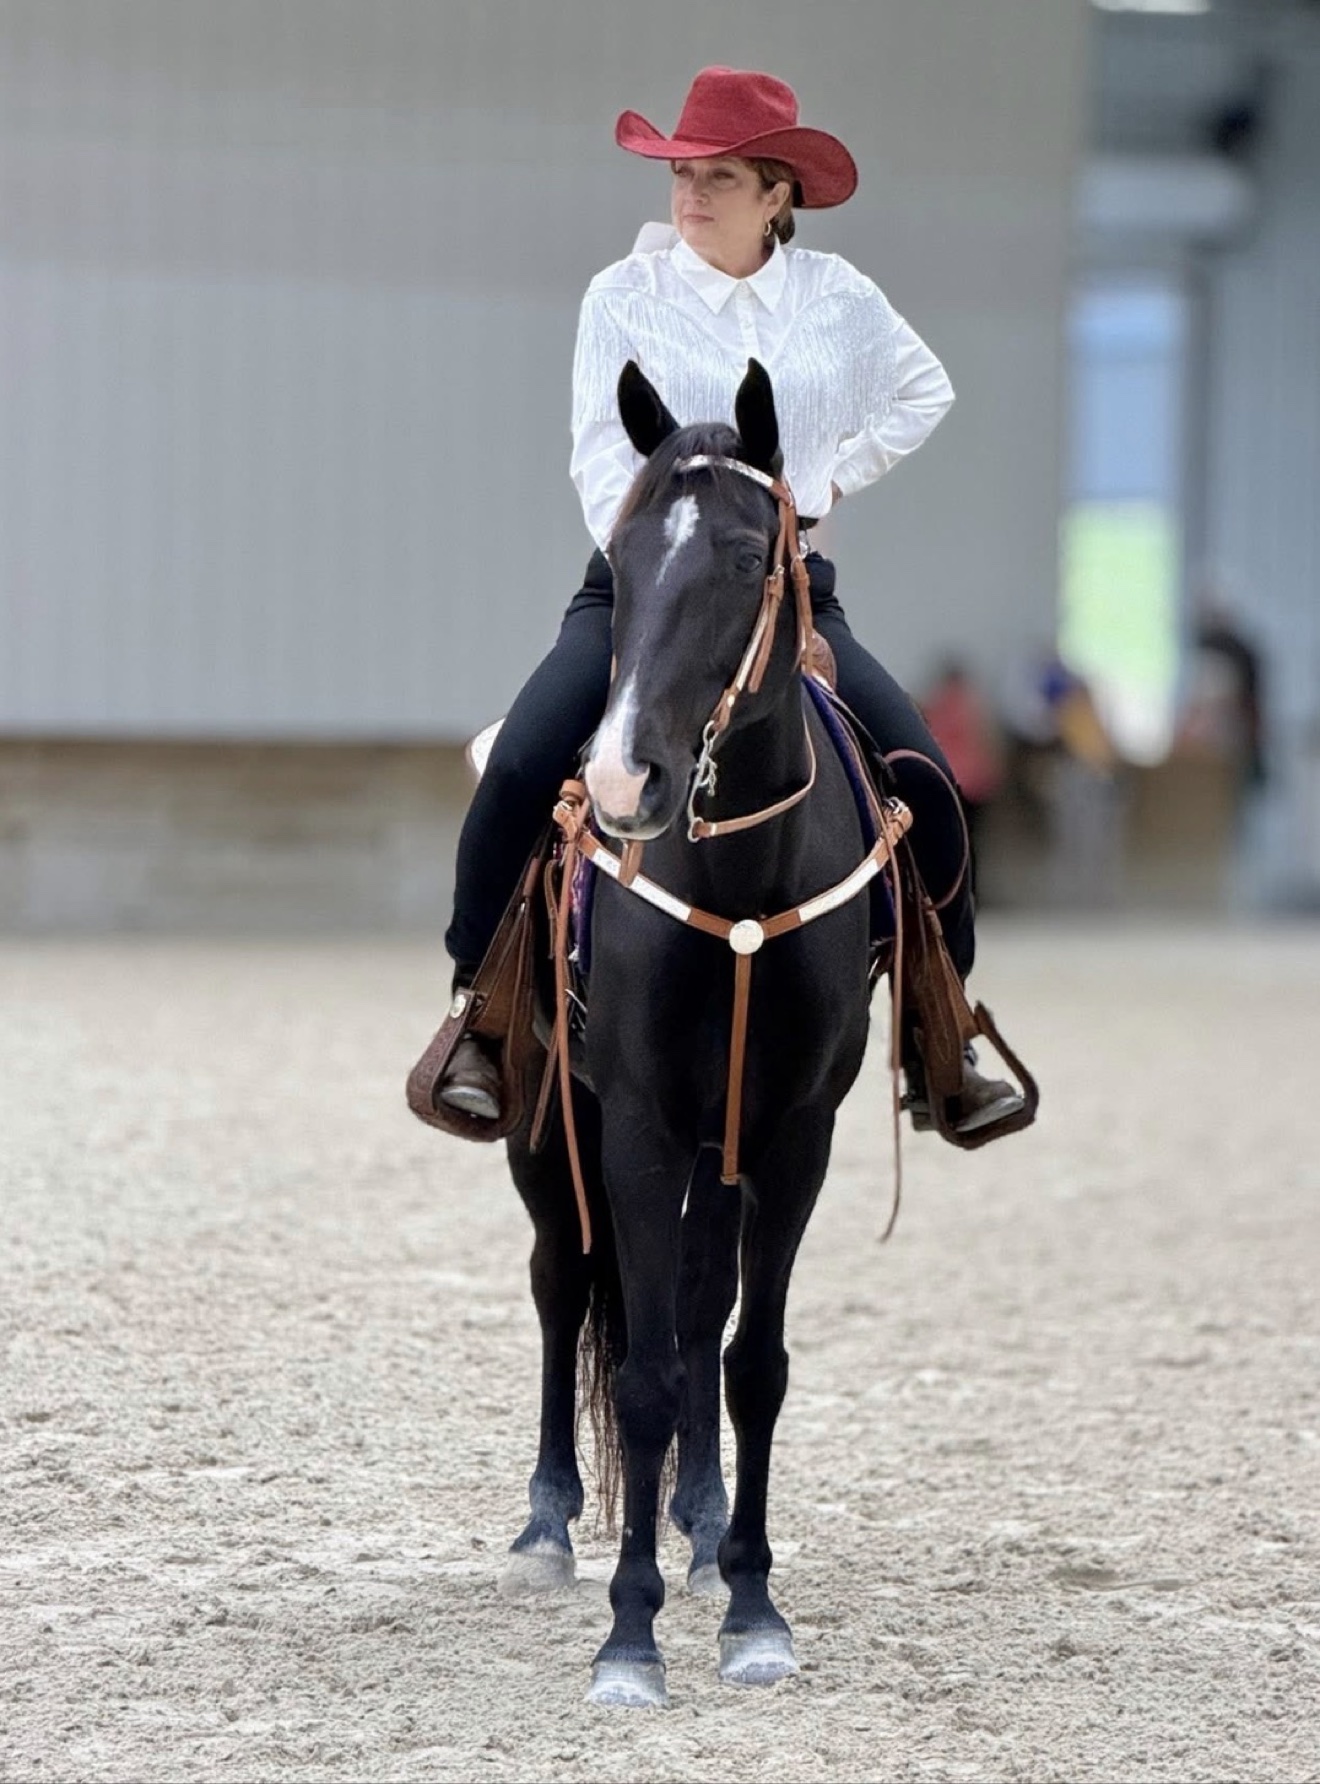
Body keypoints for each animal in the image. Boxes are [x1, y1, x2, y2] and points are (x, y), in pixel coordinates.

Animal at [500, 358, 900, 1708]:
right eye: (619, 559)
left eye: (742, 557)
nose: (629, 783)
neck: (738, 886)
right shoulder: (630, 1123)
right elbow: (643, 1368)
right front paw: (630, 1632)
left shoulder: (791, 1134)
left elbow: (747, 1357)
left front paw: (751, 1603)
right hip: (544, 1125)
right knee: (564, 1278)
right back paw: (549, 1520)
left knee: (695, 1291)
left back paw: (703, 1507)